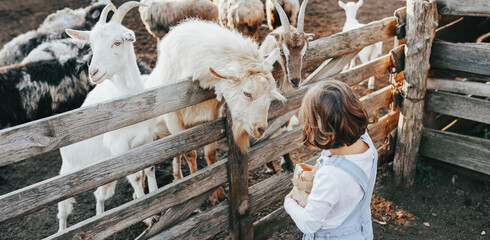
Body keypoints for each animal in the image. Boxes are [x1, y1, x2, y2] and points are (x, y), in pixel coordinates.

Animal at [57, 1, 157, 231]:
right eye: (92, 47)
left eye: (117, 42)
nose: (93, 72)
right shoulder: (119, 146)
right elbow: (135, 176)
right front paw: (149, 215)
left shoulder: (146, 138)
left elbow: (149, 168)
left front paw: (159, 198)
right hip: (68, 171)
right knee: (63, 208)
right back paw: (62, 229)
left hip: (104, 169)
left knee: (99, 195)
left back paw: (100, 219)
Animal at [145, 18, 284, 202]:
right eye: (246, 93)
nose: (261, 129)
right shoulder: (174, 120)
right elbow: (190, 154)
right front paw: (197, 190)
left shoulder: (211, 117)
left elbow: (210, 154)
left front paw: (217, 192)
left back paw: (177, 177)